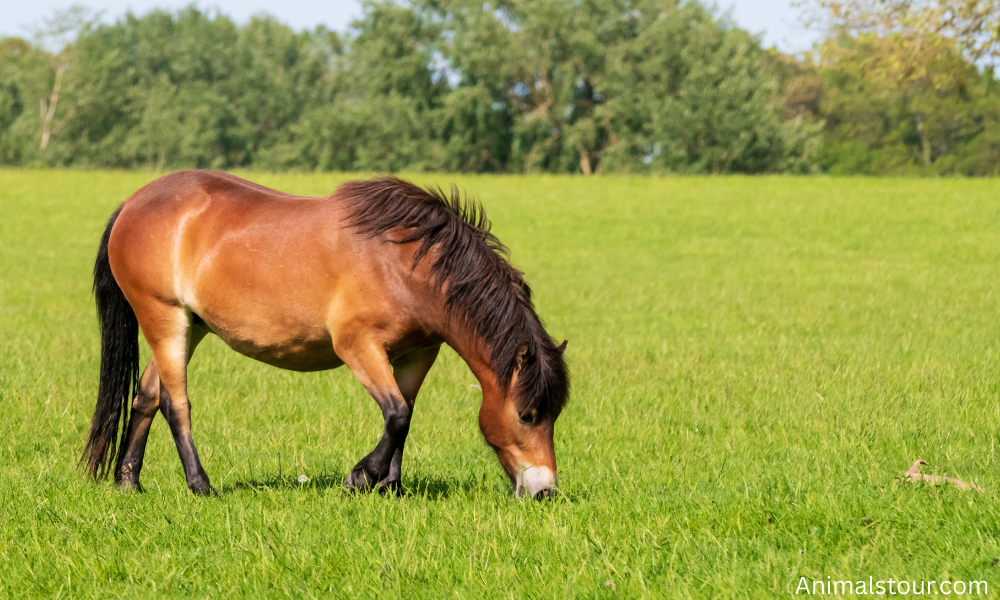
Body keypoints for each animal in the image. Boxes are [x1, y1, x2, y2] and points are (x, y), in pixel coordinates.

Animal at [81, 170, 569, 498]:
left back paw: (128, 481)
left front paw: (390, 486)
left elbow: (405, 415)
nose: (545, 491)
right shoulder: (358, 346)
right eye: (527, 415)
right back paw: (200, 485)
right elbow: (396, 414)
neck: (405, 264)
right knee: (174, 404)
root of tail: (132, 203)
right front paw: (360, 478)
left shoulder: (417, 354)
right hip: (164, 318)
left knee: (146, 396)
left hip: (190, 325)